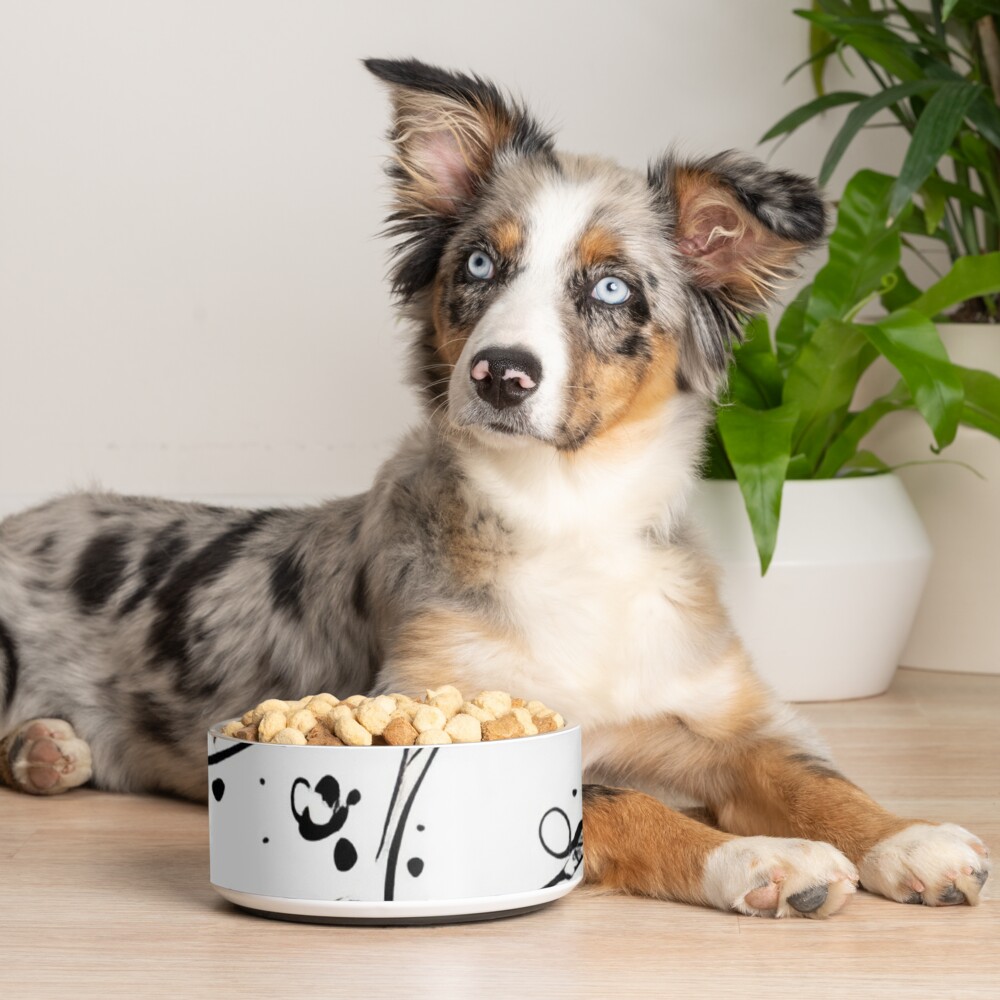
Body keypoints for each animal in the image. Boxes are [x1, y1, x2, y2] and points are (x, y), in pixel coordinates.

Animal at [0, 52, 988, 916]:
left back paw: (47, 750)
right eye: (479, 264)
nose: (501, 374)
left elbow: (808, 776)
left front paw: (909, 838)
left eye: (613, 289)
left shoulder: (722, 715)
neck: (570, 513)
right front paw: (761, 858)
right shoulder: (440, 701)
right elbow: (620, 803)